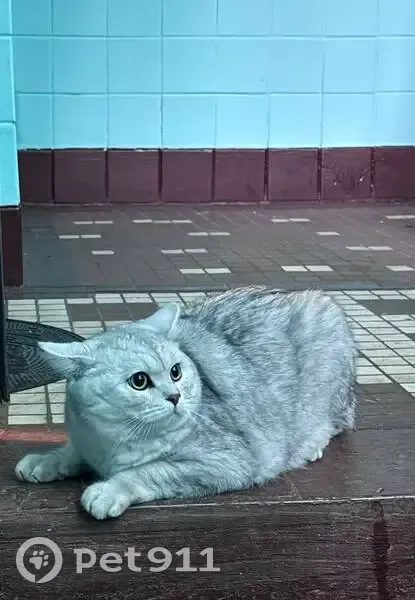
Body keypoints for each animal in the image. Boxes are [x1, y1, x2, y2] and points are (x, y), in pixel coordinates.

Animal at [15, 287, 357, 520]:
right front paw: (46, 461)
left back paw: (312, 444)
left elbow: (147, 471)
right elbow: (70, 452)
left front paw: (108, 490)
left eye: (175, 372)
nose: (175, 396)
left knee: (332, 424)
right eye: (139, 381)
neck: (110, 441)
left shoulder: (225, 461)